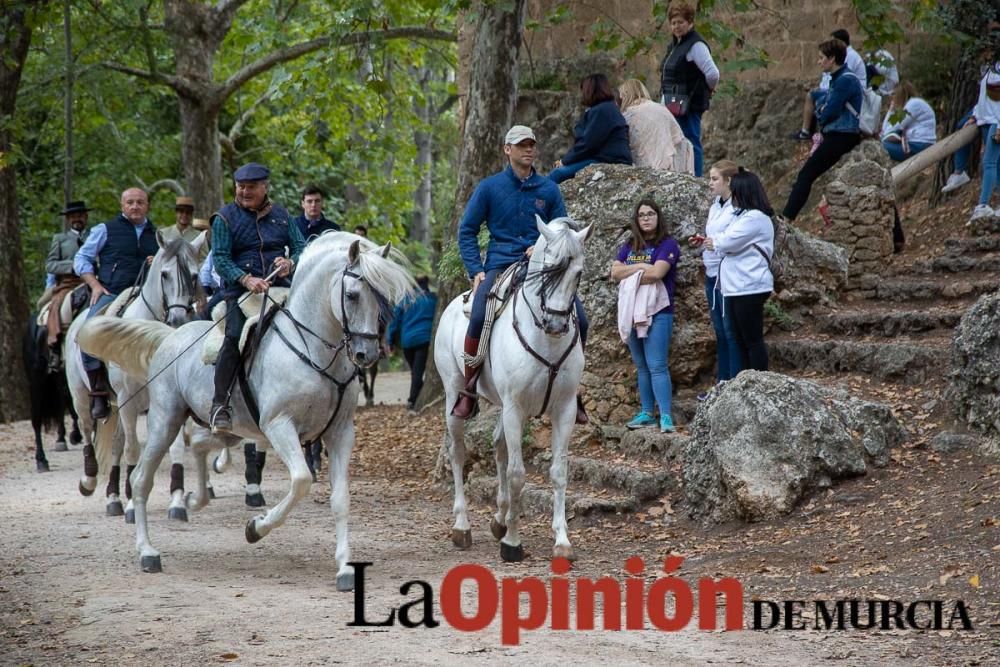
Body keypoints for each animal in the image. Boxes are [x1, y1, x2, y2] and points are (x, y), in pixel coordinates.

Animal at [64, 232, 205, 520]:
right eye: (164, 274)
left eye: (194, 275)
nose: (177, 319)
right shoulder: (129, 401)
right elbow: (133, 449)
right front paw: (132, 504)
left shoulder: (170, 403)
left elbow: (174, 448)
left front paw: (177, 501)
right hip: (83, 398)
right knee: (88, 430)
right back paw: (90, 482)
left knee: (116, 444)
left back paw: (113, 498)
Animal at [434, 218, 588, 564]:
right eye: (546, 270)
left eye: (577, 273)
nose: (556, 325)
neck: (546, 338)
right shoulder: (515, 408)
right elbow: (518, 474)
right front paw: (513, 544)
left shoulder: (563, 410)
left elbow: (559, 471)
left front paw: (562, 541)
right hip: (456, 396)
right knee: (458, 452)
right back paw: (462, 526)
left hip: (505, 408)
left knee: (498, 448)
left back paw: (500, 519)